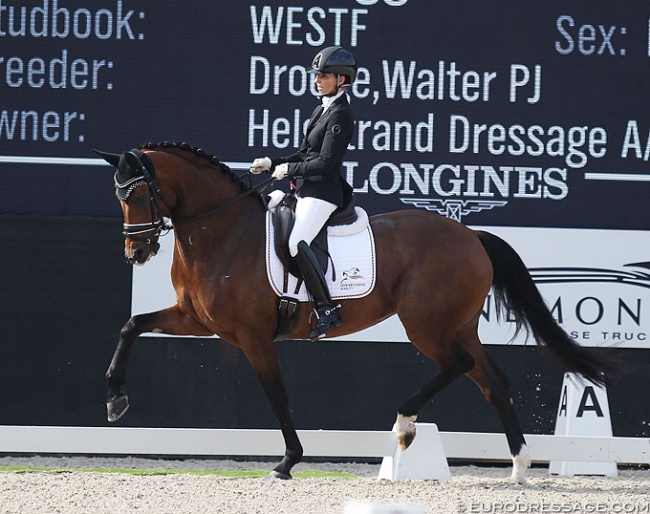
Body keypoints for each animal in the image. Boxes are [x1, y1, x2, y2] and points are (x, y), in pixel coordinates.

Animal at [93, 139, 616, 480]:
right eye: (118, 196)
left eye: (135, 193)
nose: (136, 253)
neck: (222, 233)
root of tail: (470, 235)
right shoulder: (198, 321)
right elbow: (130, 325)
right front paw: (115, 400)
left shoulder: (253, 336)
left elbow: (277, 396)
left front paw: (287, 462)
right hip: (460, 324)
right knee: (492, 381)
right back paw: (520, 467)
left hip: (427, 324)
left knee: (458, 364)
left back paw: (405, 426)